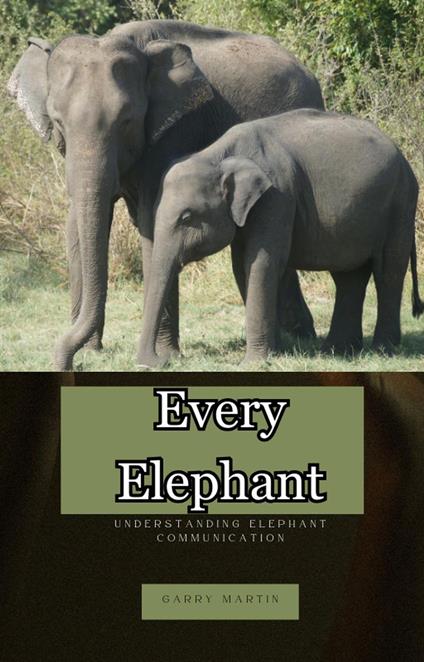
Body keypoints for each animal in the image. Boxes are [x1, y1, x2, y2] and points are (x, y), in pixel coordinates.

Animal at [7, 20, 324, 370]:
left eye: (127, 120)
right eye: (57, 121)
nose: (66, 361)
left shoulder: (174, 130)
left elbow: (151, 223)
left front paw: (164, 356)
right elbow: (77, 225)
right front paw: (90, 351)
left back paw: (299, 339)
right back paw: (295, 338)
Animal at [137, 108, 422, 367]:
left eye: (186, 217)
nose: (158, 362)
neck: (218, 154)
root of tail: (404, 159)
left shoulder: (278, 197)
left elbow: (262, 263)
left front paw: (253, 363)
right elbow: (242, 268)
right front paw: (277, 352)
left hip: (400, 204)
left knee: (388, 271)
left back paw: (382, 350)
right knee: (349, 276)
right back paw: (338, 350)